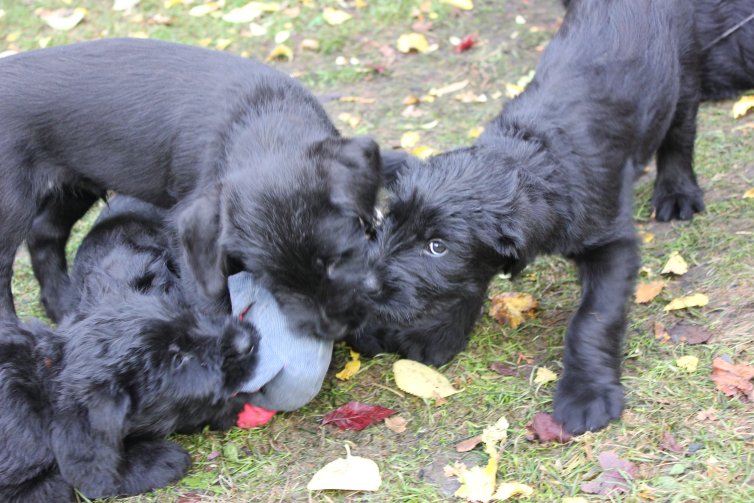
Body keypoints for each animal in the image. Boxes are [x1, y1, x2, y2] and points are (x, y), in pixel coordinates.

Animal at [0, 38, 378, 342]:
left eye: (337, 259)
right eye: (270, 277)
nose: (332, 330)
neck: (264, 122)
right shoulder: (192, 238)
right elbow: (210, 296)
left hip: (75, 182)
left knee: (45, 233)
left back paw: (62, 306)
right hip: (11, 202)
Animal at [352, 0, 700, 434]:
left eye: (437, 247)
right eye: (387, 218)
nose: (363, 284)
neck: (534, 156)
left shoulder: (611, 242)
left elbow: (593, 318)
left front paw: (586, 394)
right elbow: (467, 283)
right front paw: (435, 335)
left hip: (682, 75)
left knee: (681, 131)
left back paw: (678, 192)